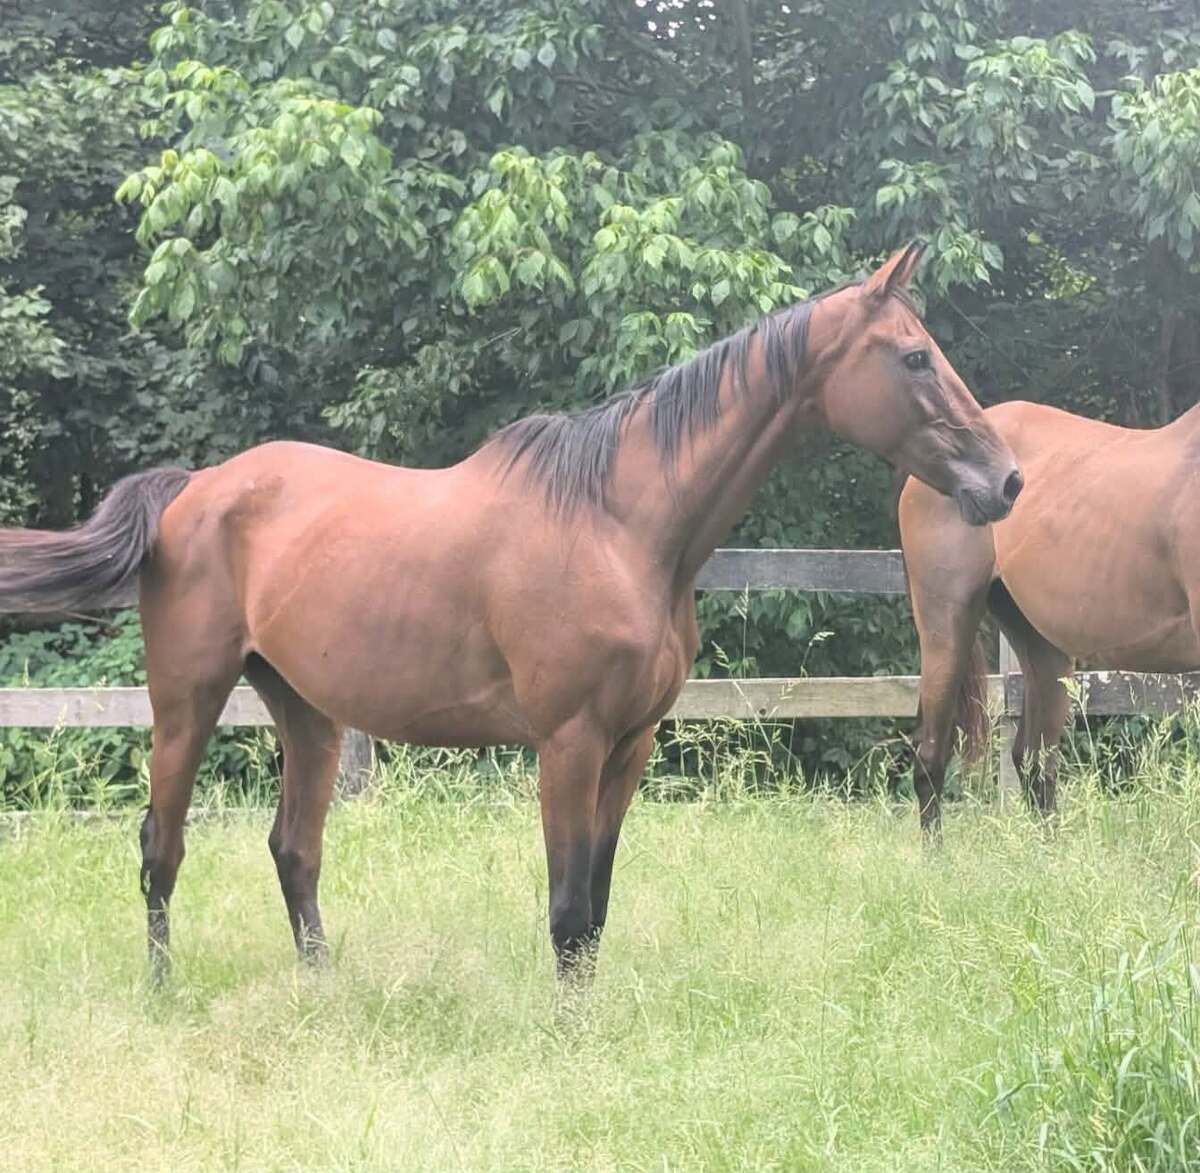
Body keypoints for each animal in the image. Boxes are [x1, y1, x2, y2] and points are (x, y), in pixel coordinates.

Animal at [0, 244, 1021, 982]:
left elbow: (597, 905)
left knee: (294, 849)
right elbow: (567, 908)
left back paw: (321, 987)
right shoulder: (567, 741)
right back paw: (162, 988)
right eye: (915, 356)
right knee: (160, 848)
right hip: (187, 700)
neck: (617, 522)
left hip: (307, 714)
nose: (1005, 479)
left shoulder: (629, 745)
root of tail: (192, 490)